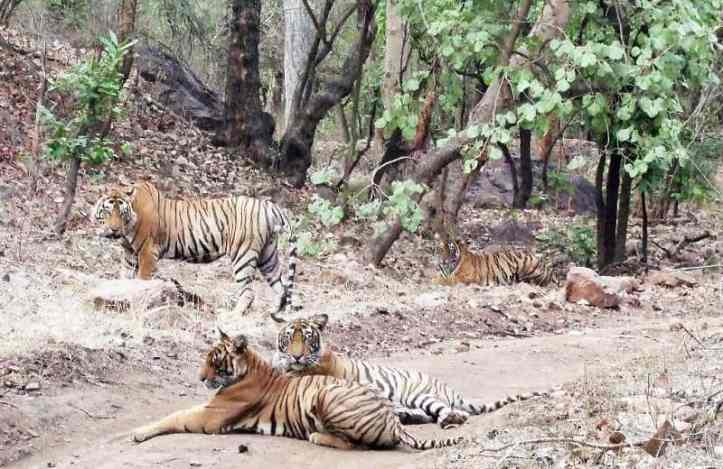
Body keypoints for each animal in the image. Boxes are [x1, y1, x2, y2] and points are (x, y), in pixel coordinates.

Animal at [93, 180, 297, 316]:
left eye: (121, 213)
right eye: (108, 211)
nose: (114, 229)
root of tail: (270, 206)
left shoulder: (147, 254)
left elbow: (141, 282)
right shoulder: (130, 255)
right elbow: (125, 280)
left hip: (244, 254)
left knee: (249, 292)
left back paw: (232, 316)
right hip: (267, 255)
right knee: (280, 287)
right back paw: (274, 314)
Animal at [130, 329, 463, 451]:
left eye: (214, 360)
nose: (200, 378)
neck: (249, 367)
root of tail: (395, 424)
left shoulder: (209, 417)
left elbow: (173, 416)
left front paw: (137, 433)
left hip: (327, 396)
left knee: (355, 445)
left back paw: (317, 437)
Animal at [272, 314, 549, 429]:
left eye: (307, 338)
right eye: (290, 338)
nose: (296, 355)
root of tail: (450, 389)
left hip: (420, 394)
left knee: (446, 411)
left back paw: (449, 419)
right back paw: (407, 416)